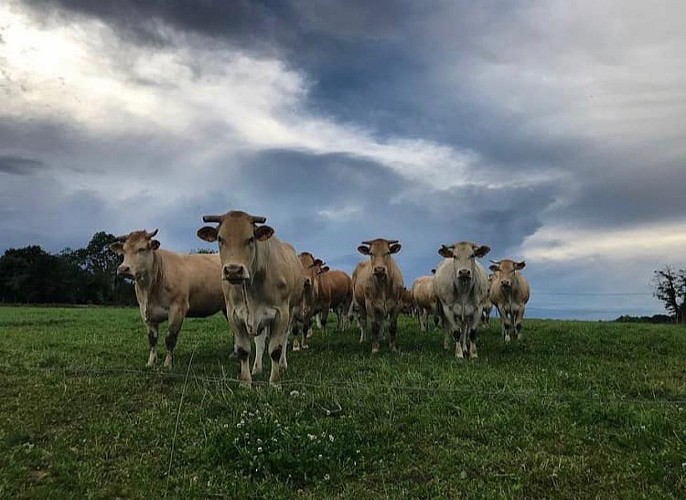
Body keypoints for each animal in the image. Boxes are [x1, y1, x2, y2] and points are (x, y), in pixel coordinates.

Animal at [109, 229, 225, 369]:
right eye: (124, 251)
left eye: (142, 249)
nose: (123, 269)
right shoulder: (145, 312)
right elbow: (152, 339)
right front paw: (150, 362)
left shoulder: (178, 309)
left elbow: (170, 338)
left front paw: (167, 364)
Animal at [196, 211, 303, 387]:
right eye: (220, 238)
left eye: (250, 239)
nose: (233, 270)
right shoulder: (234, 314)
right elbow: (243, 350)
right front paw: (245, 382)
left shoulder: (281, 313)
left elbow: (275, 349)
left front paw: (275, 382)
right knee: (260, 341)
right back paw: (257, 367)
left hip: (291, 309)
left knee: (285, 337)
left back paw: (282, 364)